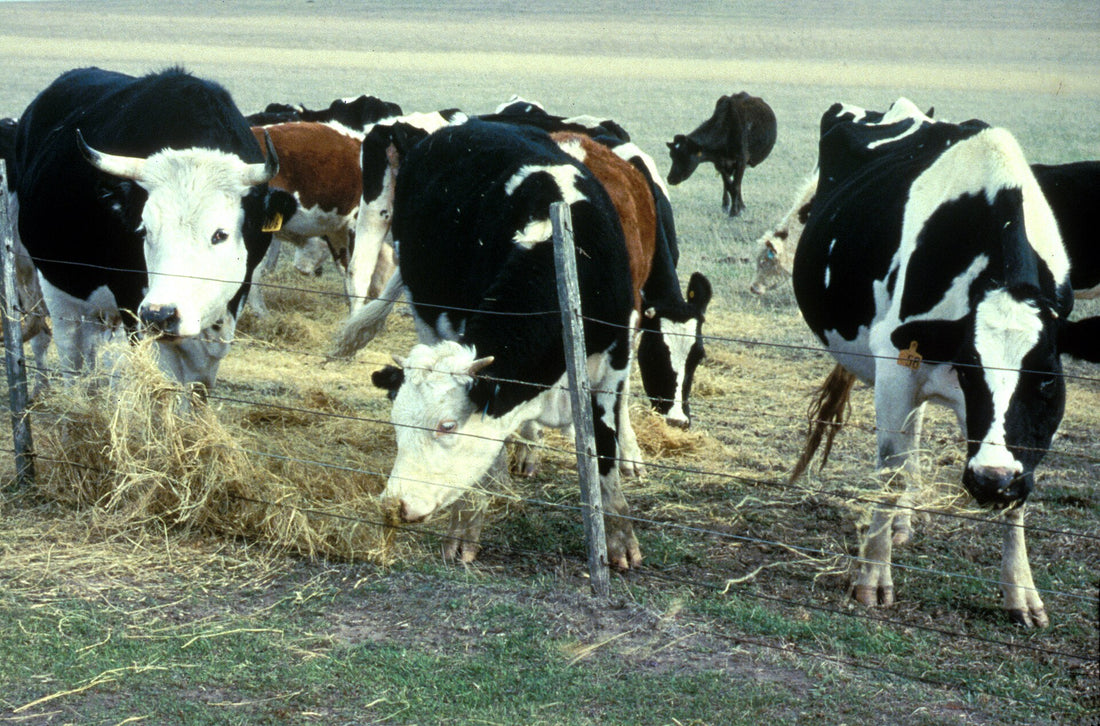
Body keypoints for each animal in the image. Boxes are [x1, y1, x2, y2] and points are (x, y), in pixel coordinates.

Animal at [13, 67, 294, 389]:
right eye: (145, 231)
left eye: (220, 234)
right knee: (71, 358)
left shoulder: (223, 321)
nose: (160, 314)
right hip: (55, 290)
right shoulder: (139, 316)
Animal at [347, 119, 642, 568]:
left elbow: (604, 455)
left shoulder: (613, 366)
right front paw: (466, 527)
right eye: (396, 423)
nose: (394, 505)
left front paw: (620, 539)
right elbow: (488, 458)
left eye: (447, 425)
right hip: (424, 312)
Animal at [789, 98, 1070, 628]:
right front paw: (872, 578)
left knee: (915, 434)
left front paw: (1021, 592)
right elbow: (890, 471)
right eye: (971, 368)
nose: (991, 481)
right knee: (902, 450)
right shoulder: (896, 368)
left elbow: (1020, 487)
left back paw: (904, 521)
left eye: (1045, 382)